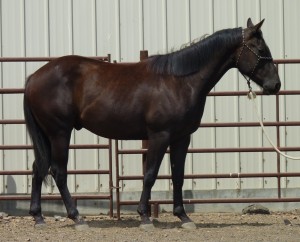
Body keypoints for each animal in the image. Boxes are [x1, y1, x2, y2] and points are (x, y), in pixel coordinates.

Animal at [24, 18, 282, 229]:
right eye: (260, 49)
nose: (276, 85)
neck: (180, 81)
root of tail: (34, 77)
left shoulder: (181, 138)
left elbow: (178, 176)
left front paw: (183, 217)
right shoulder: (160, 136)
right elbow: (150, 174)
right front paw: (145, 217)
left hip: (47, 135)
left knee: (38, 168)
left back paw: (38, 217)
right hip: (59, 133)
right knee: (58, 172)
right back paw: (77, 217)